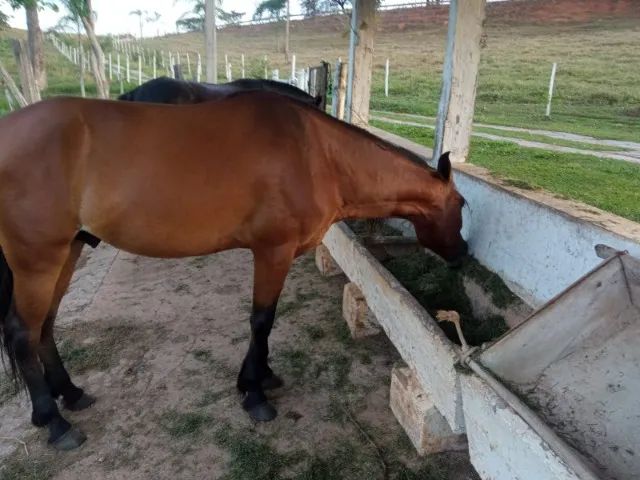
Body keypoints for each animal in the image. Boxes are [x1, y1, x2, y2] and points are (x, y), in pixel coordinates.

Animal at [0, 91, 467, 451]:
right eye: (462, 204)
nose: (462, 252)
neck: (317, 154)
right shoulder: (272, 252)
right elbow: (262, 320)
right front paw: (254, 392)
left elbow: (265, 323)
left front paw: (264, 376)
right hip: (39, 259)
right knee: (23, 333)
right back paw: (54, 422)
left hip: (68, 251)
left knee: (45, 326)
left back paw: (71, 394)